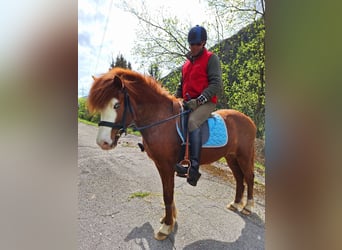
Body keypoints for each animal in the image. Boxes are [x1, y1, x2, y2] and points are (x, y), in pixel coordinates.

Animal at [87, 67, 256, 241]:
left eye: (116, 105)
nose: (102, 142)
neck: (162, 120)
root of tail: (248, 120)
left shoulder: (167, 165)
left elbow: (168, 194)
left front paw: (166, 226)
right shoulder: (161, 165)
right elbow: (167, 193)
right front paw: (169, 219)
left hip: (244, 155)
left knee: (249, 177)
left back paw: (248, 207)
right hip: (231, 156)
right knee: (239, 178)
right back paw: (235, 203)